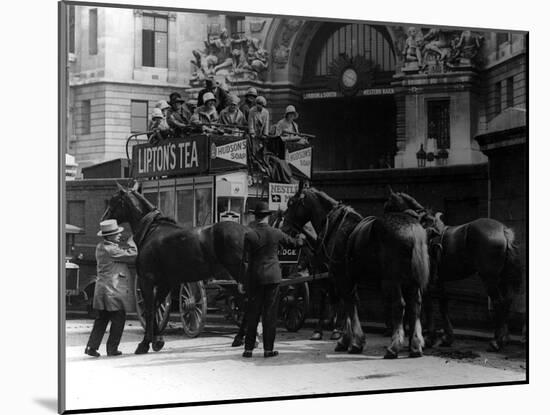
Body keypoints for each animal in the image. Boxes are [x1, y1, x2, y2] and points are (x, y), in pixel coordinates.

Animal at [102, 184, 249, 356]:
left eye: (113, 201)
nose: (104, 219)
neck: (152, 230)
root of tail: (247, 232)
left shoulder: (147, 280)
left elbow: (150, 309)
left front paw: (145, 343)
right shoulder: (165, 283)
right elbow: (156, 307)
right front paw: (157, 340)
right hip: (229, 280)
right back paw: (241, 338)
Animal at [284, 187, 432, 360]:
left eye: (291, 203)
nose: (284, 227)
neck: (335, 226)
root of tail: (412, 227)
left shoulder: (341, 277)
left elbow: (348, 305)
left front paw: (351, 341)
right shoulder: (348, 279)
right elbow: (350, 305)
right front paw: (348, 340)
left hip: (392, 280)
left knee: (399, 305)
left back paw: (394, 346)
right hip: (411, 280)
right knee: (415, 306)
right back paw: (415, 345)